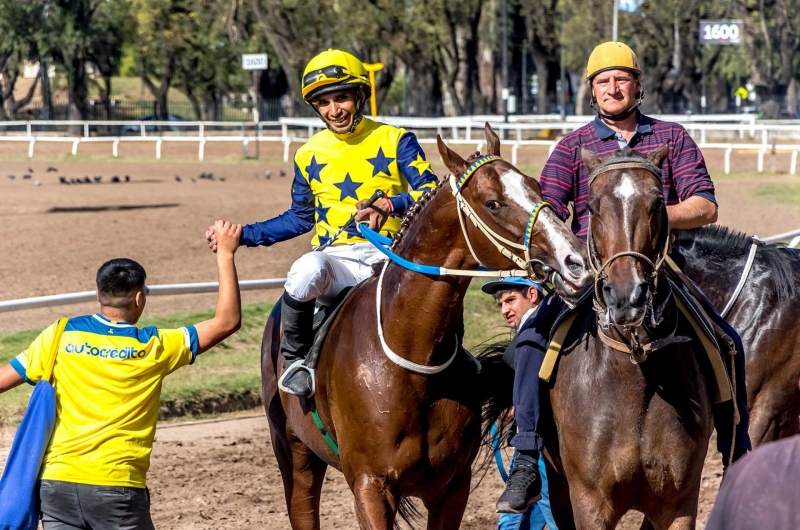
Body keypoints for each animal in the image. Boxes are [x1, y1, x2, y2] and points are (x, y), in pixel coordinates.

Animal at [260, 125, 588, 528]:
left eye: (536, 187)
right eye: (493, 203)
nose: (575, 261)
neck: (411, 362)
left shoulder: (453, 486)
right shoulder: (370, 485)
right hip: (294, 453)